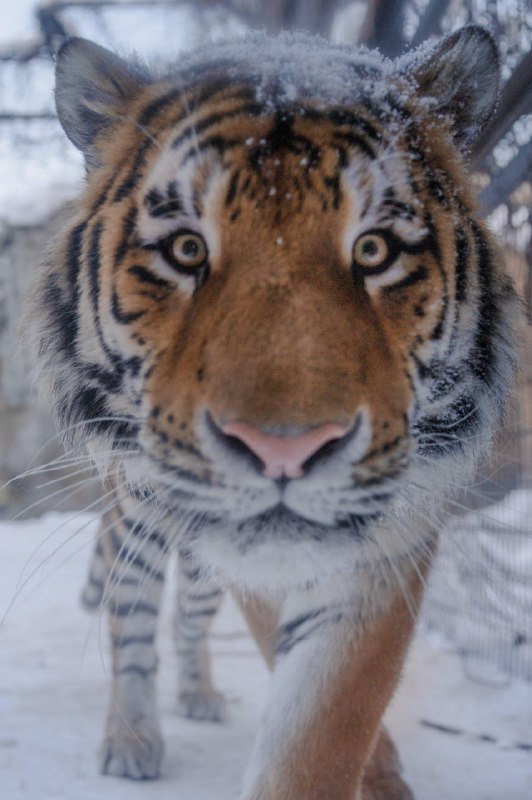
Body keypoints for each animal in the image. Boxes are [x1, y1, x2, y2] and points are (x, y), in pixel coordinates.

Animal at [24, 24, 520, 800]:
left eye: (374, 250)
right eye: (185, 250)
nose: (284, 450)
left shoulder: (389, 551)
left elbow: (323, 726)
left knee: (189, 616)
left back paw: (199, 694)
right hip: (141, 521)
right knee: (132, 619)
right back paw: (131, 740)